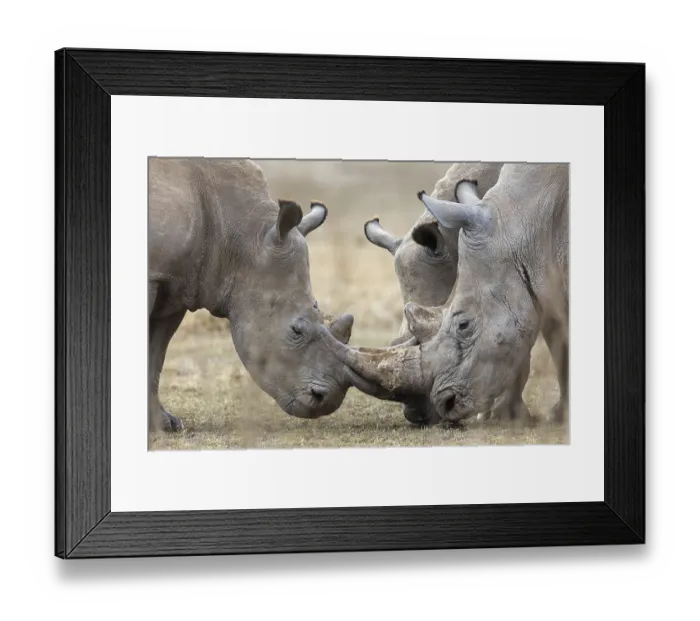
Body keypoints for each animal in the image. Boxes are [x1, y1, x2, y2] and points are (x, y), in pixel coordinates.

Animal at [148, 157, 381, 432]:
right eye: (296, 330)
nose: (326, 401)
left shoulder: (178, 282)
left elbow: (156, 355)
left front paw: (164, 425)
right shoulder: (155, 274)